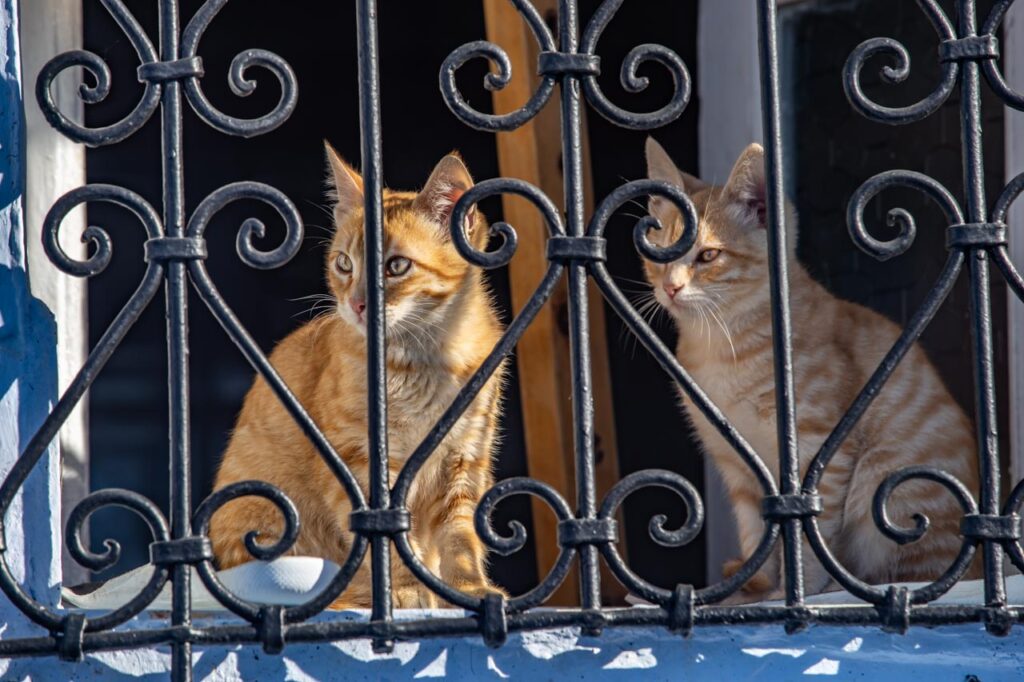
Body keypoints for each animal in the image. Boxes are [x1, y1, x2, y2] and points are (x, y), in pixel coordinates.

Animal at [209, 142, 505, 606]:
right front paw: (405, 588)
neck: (424, 360)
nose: (357, 304)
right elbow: (384, 530)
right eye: (344, 264)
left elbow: (460, 537)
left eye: (396, 266)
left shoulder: (465, 458)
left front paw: (467, 587)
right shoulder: (357, 459)